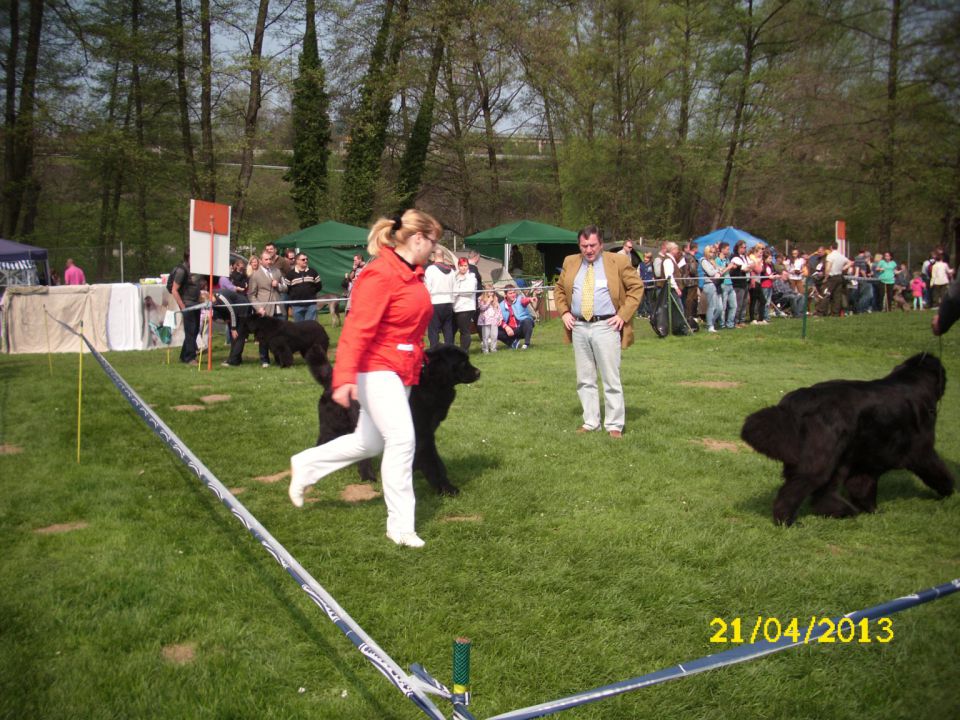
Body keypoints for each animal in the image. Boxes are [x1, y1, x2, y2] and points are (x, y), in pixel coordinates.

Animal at [314, 344, 484, 496]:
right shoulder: (423, 433)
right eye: (462, 362)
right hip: (338, 425)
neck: (429, 381)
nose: (479, 372)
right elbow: (434, 462)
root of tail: (330, 380)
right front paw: (446, 488)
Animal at [744, 352, 952, 524]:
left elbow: (864, 486)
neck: (913, 380)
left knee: (822, 493)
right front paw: (949, 492)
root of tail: (800, 399)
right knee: (798, 489)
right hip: (823, 457)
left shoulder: (866, 461)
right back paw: (787, 520)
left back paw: (844, 511)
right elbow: (939, 470)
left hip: (837, 456)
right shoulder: (921, 450)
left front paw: (872, 511)